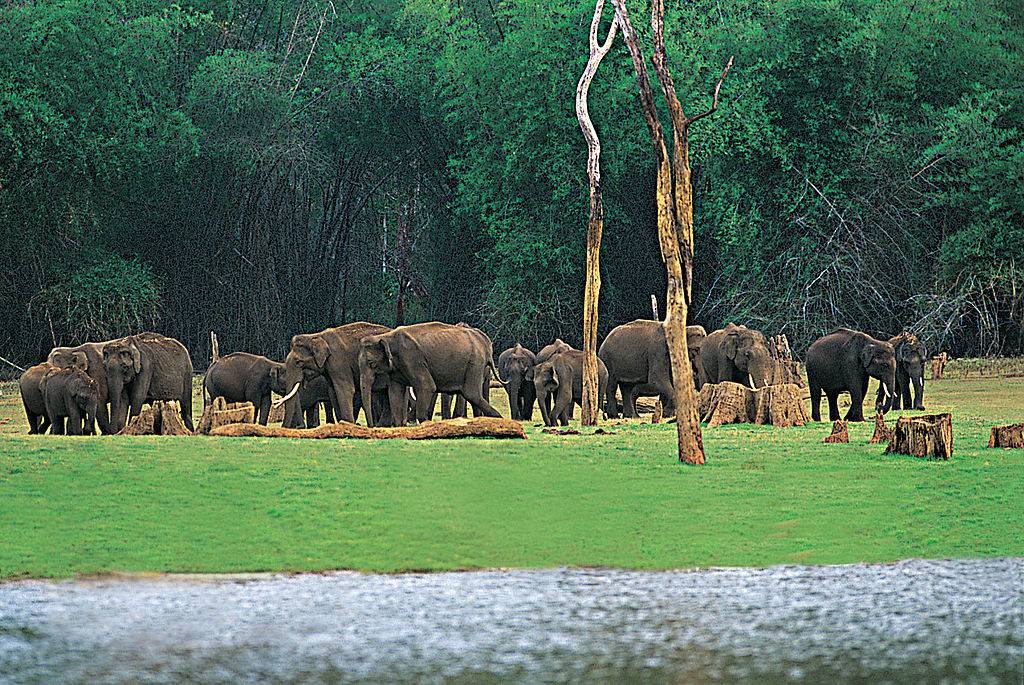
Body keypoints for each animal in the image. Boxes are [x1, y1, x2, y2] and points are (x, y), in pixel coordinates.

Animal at [358, 321, 501, 427]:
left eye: (371, 363)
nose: (371, 426)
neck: (387, 336)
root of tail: (485, 342)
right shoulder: (397, 368)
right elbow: (395, 392)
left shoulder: (412, 359)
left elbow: (427, 387)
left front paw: (425, 423)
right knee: (472, 395)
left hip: (474, 363)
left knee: (471, 394)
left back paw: (499, 419)